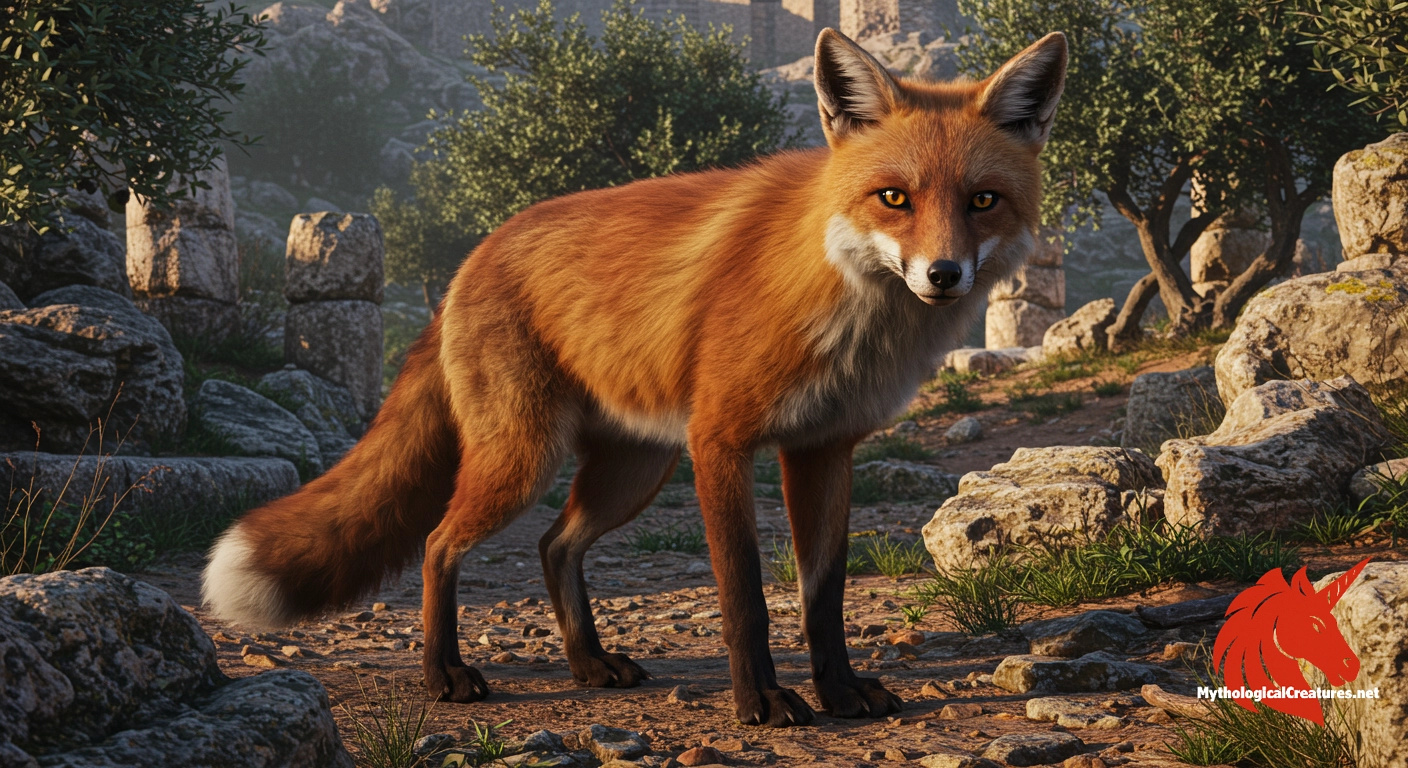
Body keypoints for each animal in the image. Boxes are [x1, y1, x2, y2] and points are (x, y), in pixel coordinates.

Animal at [202, 28, 1067, 727]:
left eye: (982, 201)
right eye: (894, 198)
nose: (944, 275)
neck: (844, 308)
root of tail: (474, 255)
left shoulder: (825, 448)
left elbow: (823, 598)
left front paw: (841, 692)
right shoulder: (721, 442)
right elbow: (745, 597)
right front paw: (761, 701)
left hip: (634, 469)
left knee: (554, 544)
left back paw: (588, 663)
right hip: (526, 460)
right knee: (439, 542)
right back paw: (443, 672)